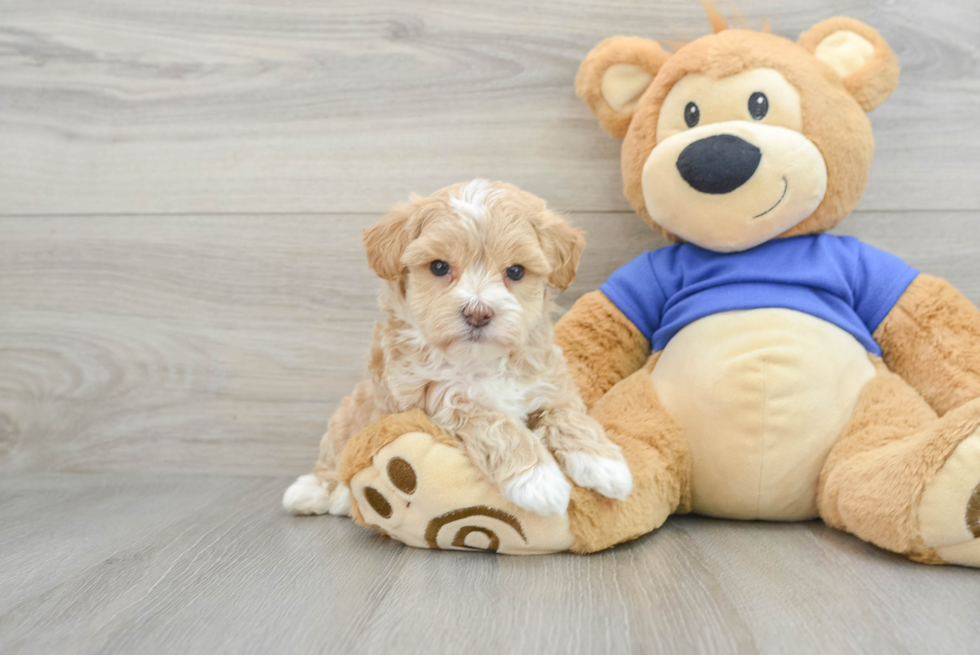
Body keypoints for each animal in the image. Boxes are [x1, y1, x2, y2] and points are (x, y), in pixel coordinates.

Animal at [282, 179, 636, 516]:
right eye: (439, 267)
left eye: (516, 271)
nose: (478, 313)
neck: (480, 361)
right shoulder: (440, 399)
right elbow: (495, 423)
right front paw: (538, 480)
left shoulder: (549, 383)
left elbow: (569, 415)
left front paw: (605, 464)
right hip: (347, 417)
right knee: (334, 459)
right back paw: (316, 493)